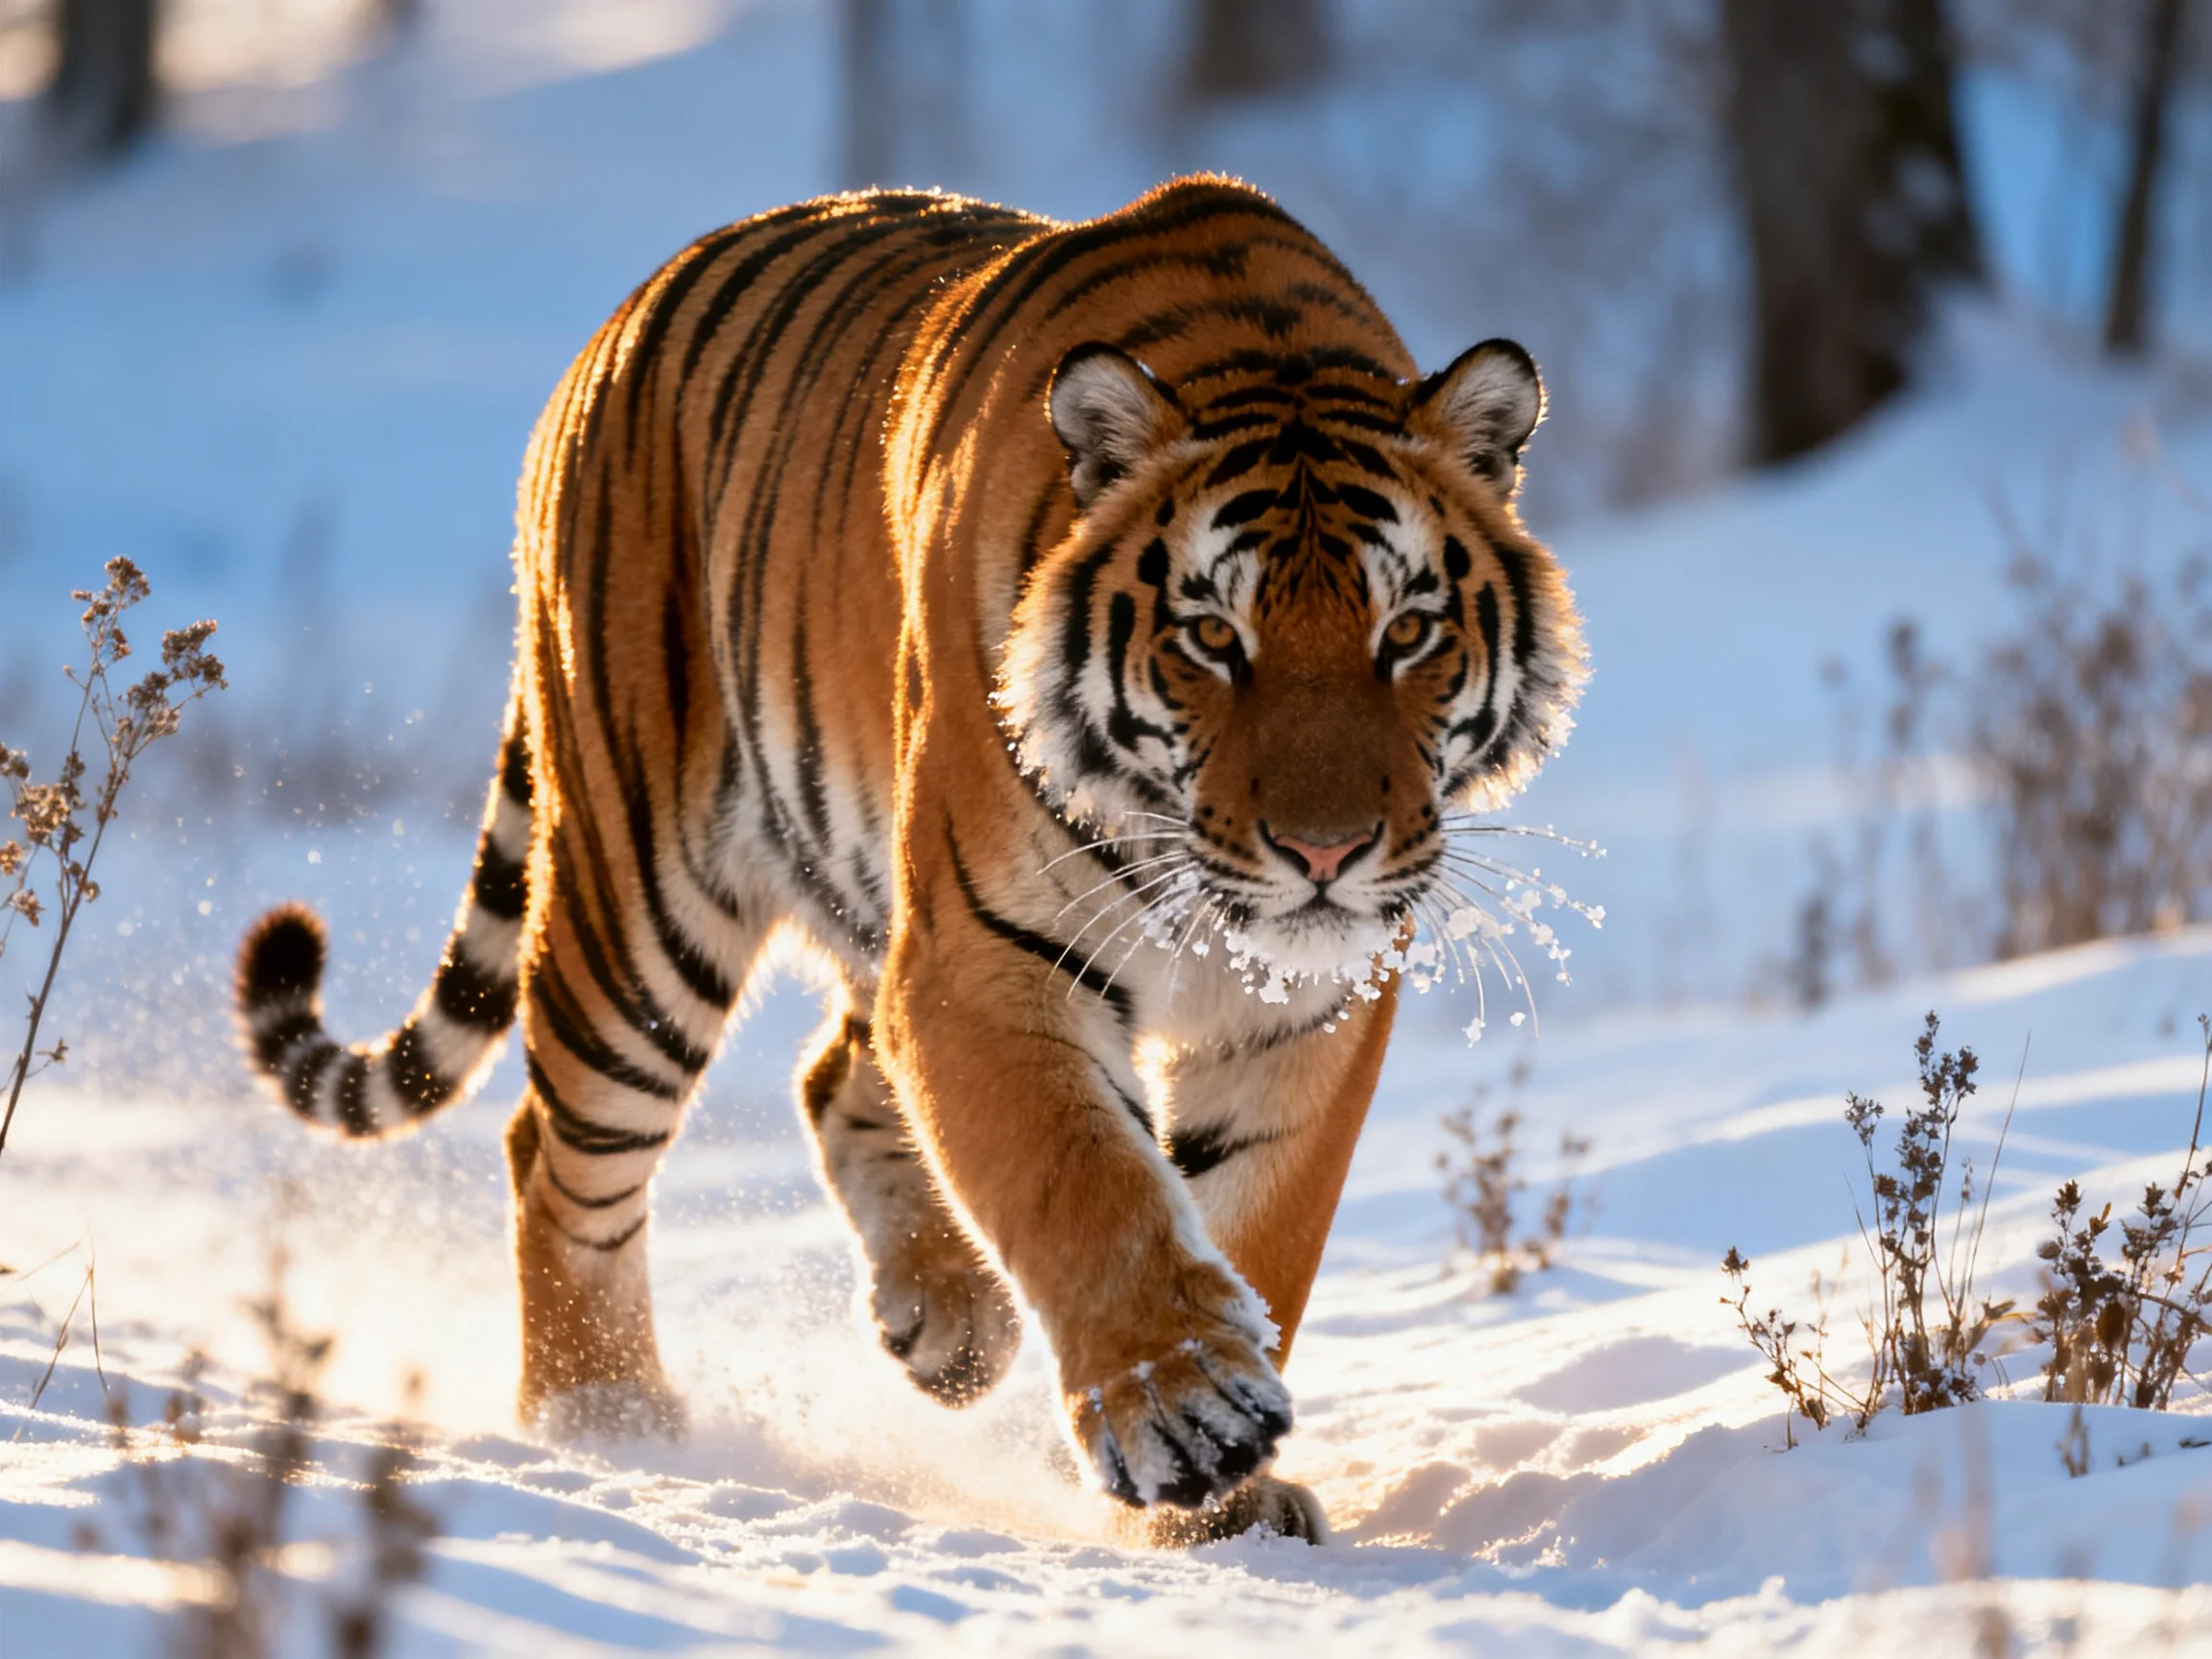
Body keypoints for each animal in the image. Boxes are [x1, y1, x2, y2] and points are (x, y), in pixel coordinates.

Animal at [235, 176, 1586, 1544]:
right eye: (1213, 636)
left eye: (1407, 631)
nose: (1324, 849)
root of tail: (618, 325)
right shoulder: (987, 957)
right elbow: (1082, 1184)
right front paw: (1186, 1411)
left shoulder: (1305, 1007)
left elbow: (1257, 1226)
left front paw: (1221, 1506)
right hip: (643, 903)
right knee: (561, 1155)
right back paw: (607, 1423)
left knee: (833, 1070)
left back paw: (946, 1325)